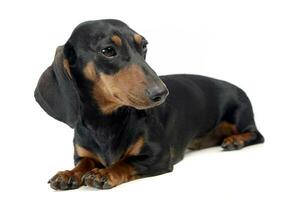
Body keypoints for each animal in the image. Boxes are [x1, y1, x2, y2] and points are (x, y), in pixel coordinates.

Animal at [33, 19, 264, 190]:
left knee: (256, 134)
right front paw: (68, 174)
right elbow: (83, 163)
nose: (161, 93)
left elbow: (126, 162)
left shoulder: (157, 156)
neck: (106, 122)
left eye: (143, 46)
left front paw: (105, 172)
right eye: (108, 51)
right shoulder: (81, 155)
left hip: (239, 117)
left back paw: (236, 140)